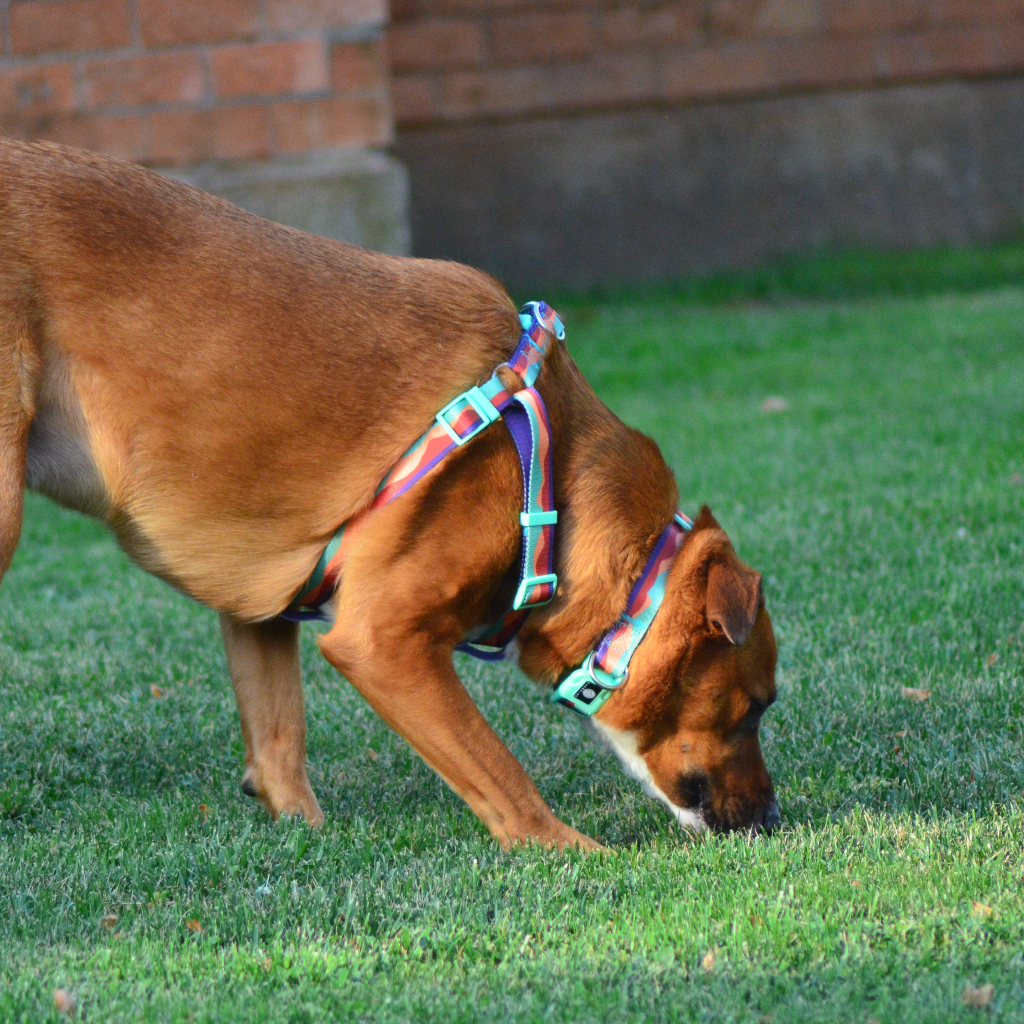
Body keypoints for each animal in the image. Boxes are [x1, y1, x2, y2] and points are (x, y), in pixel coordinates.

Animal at [0, 144, 774, 847]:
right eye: (754, 709)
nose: (770, 818)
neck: (555, 491)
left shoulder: (262, 610)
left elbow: (279, 740)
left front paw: (304, 833)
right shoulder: (383, 644)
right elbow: (503, 778)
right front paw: (574, 852)